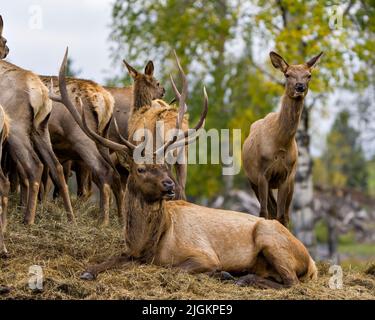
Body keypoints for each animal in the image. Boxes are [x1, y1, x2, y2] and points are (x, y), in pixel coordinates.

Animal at [0, 16, 74, 224]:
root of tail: (41, 94)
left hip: (17, 129)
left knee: (36, 165)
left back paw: (28, 219)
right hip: (41, 129)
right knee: (56, 166)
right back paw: (71, 219)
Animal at [244, 50, 324, 225]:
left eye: (309, 75)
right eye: (287, 74)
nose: (300, 87)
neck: (280, 144)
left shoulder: (286, 175)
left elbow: (281, 216)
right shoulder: (262, 174)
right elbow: (263, 213)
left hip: (292, 182)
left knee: (283, 214)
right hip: (252, 180)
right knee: (269, 210)